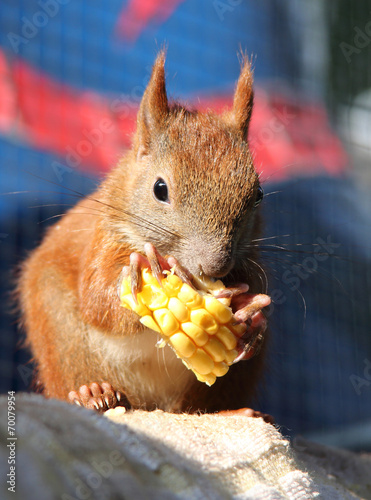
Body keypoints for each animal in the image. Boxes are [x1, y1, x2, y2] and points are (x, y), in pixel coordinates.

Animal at [18, 51, 274, 414]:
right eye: (160, 189)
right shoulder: (104, 240)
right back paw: (92, 394)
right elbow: (98, 300)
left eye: (258, 194)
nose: (216, 266)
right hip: (60, 331)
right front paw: (146, 270)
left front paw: (251, 314)